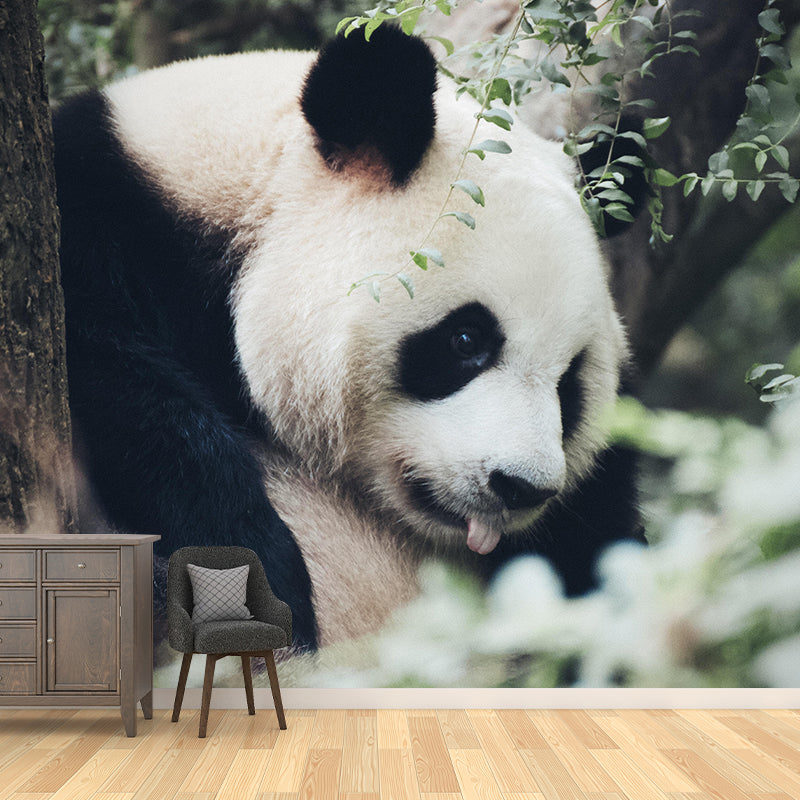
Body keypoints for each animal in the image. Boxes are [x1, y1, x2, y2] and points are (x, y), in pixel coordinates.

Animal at [54, 26, 643, 654]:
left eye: (570, 383)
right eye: (465, 340)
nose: (521, 488)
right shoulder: (98, 222)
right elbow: (122, 379)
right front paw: (260, 569)